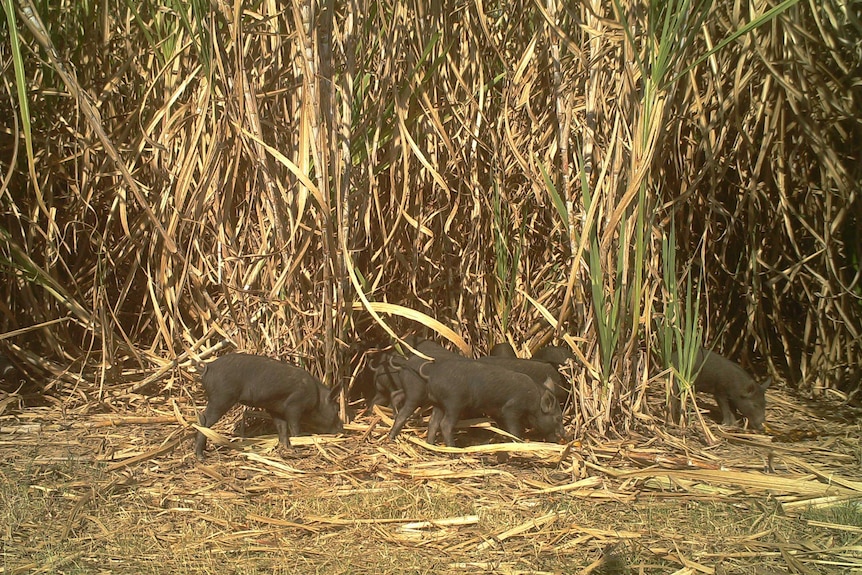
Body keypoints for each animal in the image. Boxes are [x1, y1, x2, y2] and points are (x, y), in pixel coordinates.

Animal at [196, 354, 344, 462]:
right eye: (337, 408)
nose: (342, 428)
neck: (317, 398)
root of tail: (209, 367)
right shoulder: (294, 406)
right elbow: (294, 427)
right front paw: (298, 444)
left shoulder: (275, 409)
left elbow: (282, 428)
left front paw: (286, 447)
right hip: (221, 397)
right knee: (204, 419)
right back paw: (201, 457)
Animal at [410, 358, 568, 448]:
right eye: (558, 418)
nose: (564, 434)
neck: (534, 399)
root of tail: (432, 376)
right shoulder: (511, 408)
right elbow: (515, 428)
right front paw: (519, 440)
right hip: (454, 403)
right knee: (445, 424)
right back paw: (453, 448)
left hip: (438, 404)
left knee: (433, 422)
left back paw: (431, 445)